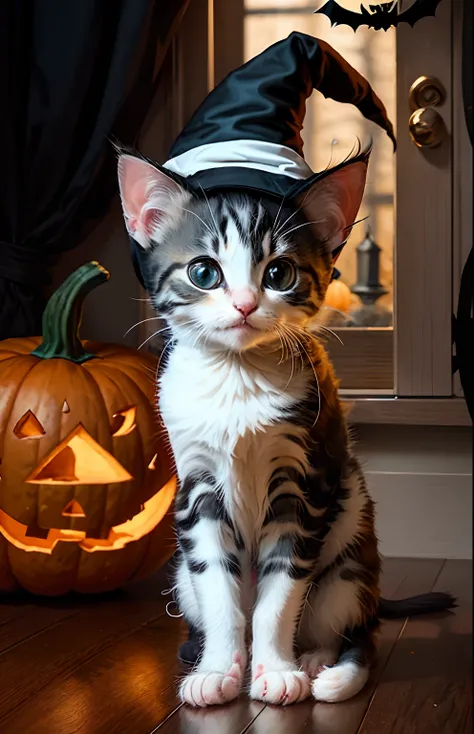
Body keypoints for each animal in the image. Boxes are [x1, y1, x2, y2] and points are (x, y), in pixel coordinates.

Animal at [117, 152, 456, 712]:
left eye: (279, 272)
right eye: (204, 272)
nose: (244, 304)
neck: (237, 377)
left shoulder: (305, 483)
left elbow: (280, 594)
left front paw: (276, 670)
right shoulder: (197, 488)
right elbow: (221, 593)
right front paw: (218, 671)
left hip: (350, 557)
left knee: (359, 632)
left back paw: (324, 667)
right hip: (181, 575)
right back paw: (207, 653)